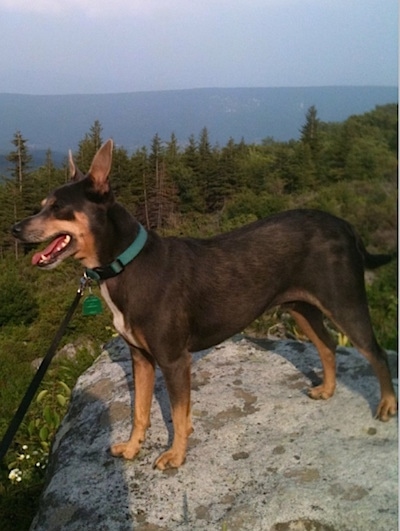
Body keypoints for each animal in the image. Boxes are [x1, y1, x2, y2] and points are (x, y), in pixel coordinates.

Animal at [12, 138, 396, 470]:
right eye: (42, 205)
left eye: (58, 208)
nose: (15, 229)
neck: (128, 264)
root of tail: (346, 225)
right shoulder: (141, 358)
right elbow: (140, 411)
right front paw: (134, 448)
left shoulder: (174, 360)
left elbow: (179, 416)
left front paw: (176, 456)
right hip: (302, 307)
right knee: (328, 344)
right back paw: (328, 390)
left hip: (344, 302)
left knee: (375, 352)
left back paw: (387, 405)